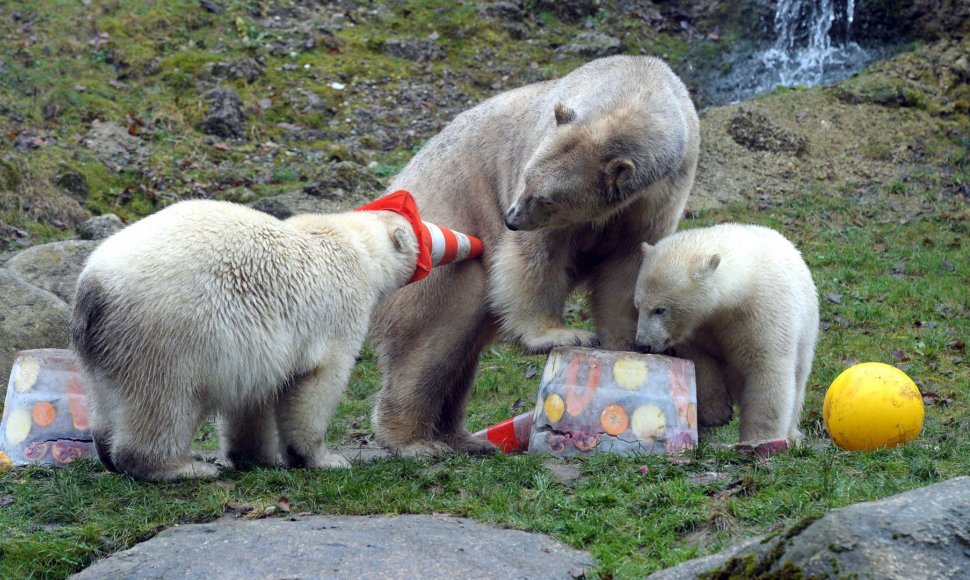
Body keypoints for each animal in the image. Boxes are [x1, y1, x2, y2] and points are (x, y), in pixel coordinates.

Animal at [68, 199, 416, 480]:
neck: (356, 245)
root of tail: (95, 286)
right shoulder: (338, 312)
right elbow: (317, 383)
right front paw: (324, 459)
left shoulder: (255, 342)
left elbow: (253, 398)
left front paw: (256, 457)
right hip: (167, 333)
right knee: (165, 401)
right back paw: (183, 468)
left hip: (104, 344)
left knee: (105, 398)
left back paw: (106, 451)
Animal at [368, 54, 696, 456]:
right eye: (526, 177)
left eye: (548, 198)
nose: (510, 219)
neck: (636, 86)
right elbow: (537, 259)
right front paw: (563, 335)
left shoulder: (658, 194)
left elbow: (627, 267)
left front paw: (629, 342)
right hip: (442, 229)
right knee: (439, 325)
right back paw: (415, 441)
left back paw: (463, 439)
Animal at [636, 224, 816, 442]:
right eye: (637, 305)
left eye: (660, 309)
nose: (642, 345)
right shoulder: (700, 326)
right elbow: (698, 359)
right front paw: (717, 412)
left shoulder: (763, 313)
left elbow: (767, 369)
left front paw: (761, 438)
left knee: (798, 381)